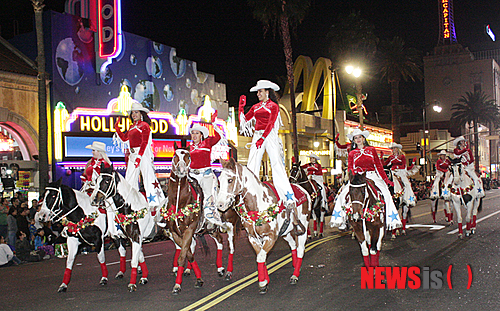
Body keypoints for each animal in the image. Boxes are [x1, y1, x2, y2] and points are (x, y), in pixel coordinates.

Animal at [216, 158, 312, 294]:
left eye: (230, 180)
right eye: (219, 180)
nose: (219, 205)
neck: (258, 204)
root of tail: (303, 190)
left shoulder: (271, 237)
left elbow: (261, 257)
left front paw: (262, 283)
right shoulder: (253, 238)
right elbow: (260, 256)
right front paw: (265, 280)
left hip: (303, 227)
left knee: (300, 250)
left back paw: (295, 275)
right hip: (285, 232)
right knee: (293, 245)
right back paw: (295, 266)